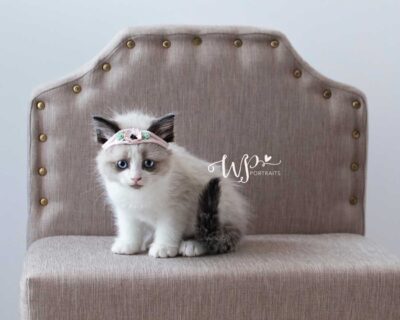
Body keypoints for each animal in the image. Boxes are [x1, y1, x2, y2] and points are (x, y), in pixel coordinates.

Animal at [93, 111, 248, 258]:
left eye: (148, 163)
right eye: (122, 164)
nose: (136, 178)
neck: (141, 194)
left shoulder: (174, 209)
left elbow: (167, 230)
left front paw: (162, 248)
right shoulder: (126, 210)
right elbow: (129, 229)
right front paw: (128, 245)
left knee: (207, 236)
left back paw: (190, 246)